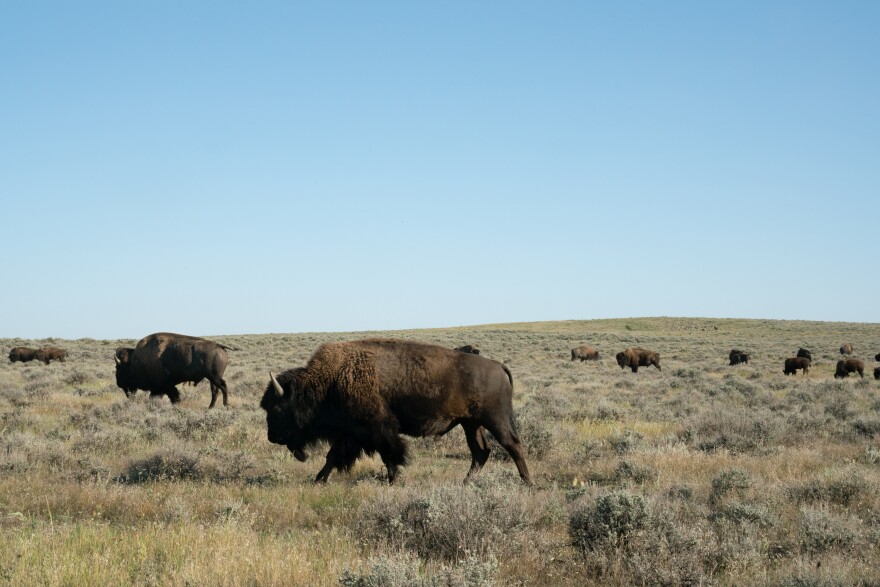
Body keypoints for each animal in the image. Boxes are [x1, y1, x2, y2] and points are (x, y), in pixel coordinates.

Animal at [258, 340, 532, 486]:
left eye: (278, 408)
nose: (271, 436)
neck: (331, 381)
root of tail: (498, 365)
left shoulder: (379, 430)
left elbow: (390, 455)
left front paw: (394, 481)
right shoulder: (349, 434)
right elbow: (332, 457)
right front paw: (318, 480)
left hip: (495, 420)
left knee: (513, 446)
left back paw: (528, 483)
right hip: (470, 424)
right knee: (480, 452)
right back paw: (465, 484)